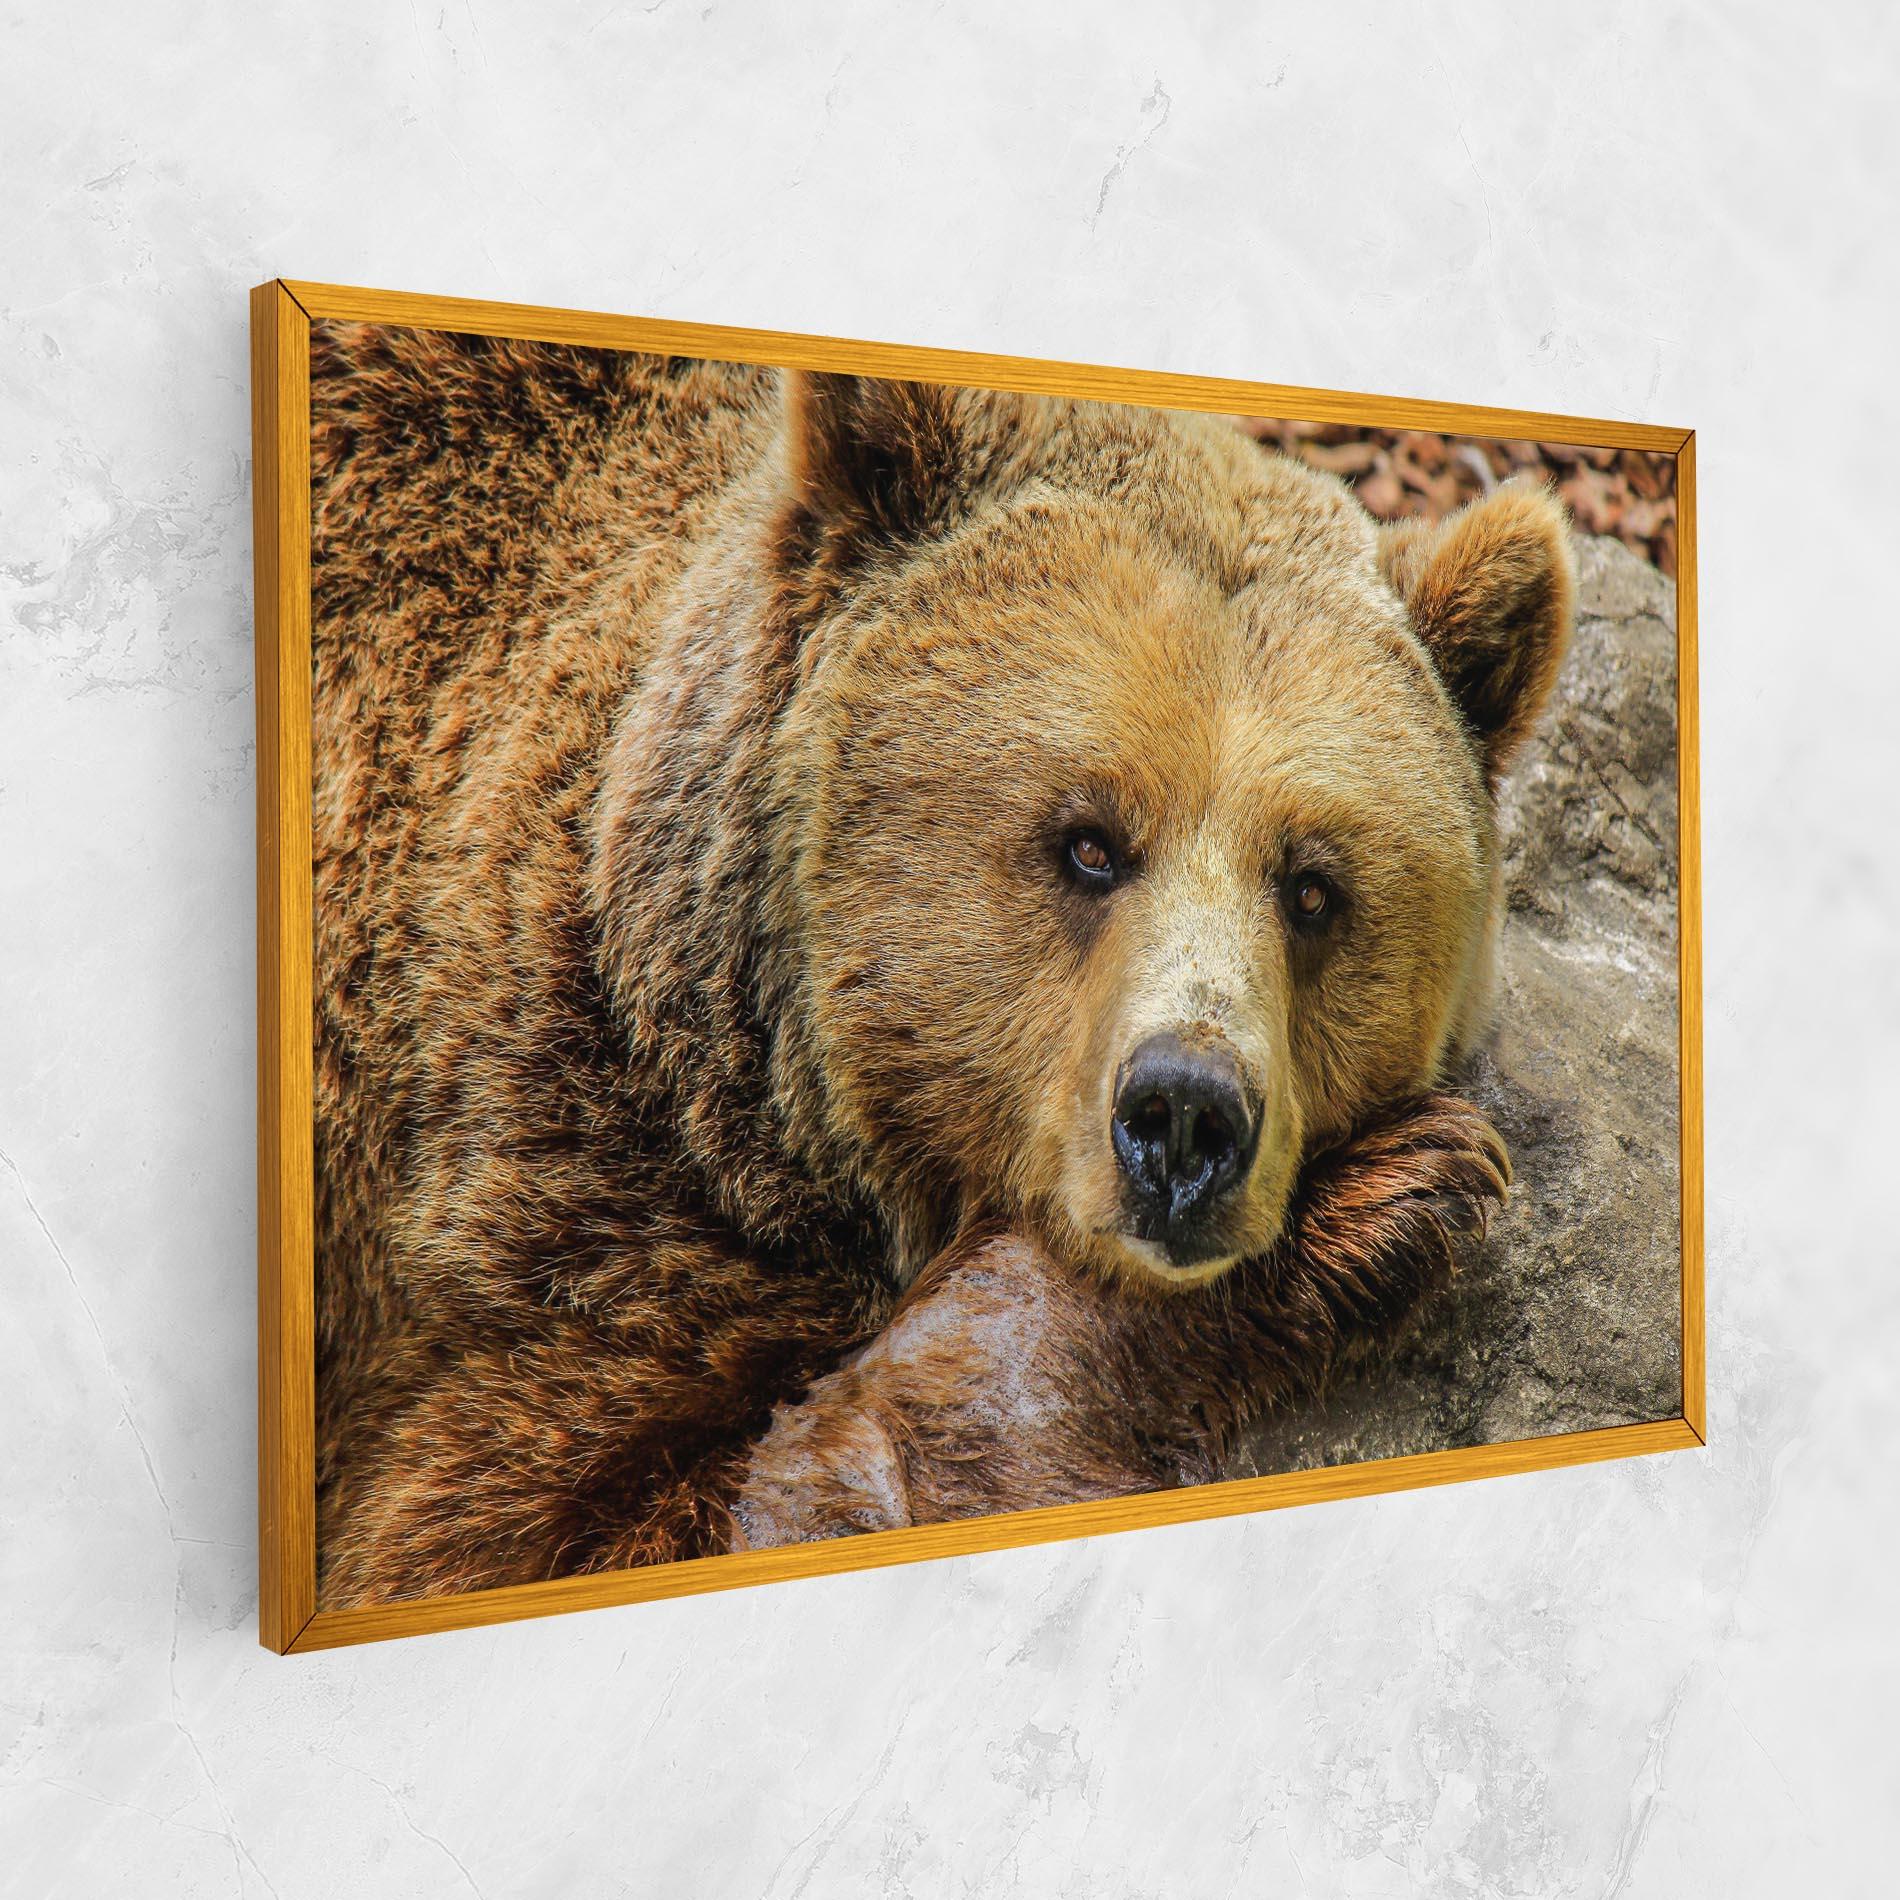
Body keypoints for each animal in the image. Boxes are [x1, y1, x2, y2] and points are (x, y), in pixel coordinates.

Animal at [305, 322, 1572, 1606]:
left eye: (1312, 887)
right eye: (1088, 841)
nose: (1185, 1119)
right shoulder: (541, 1199)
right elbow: (528, 1528)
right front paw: (1382, 1199)